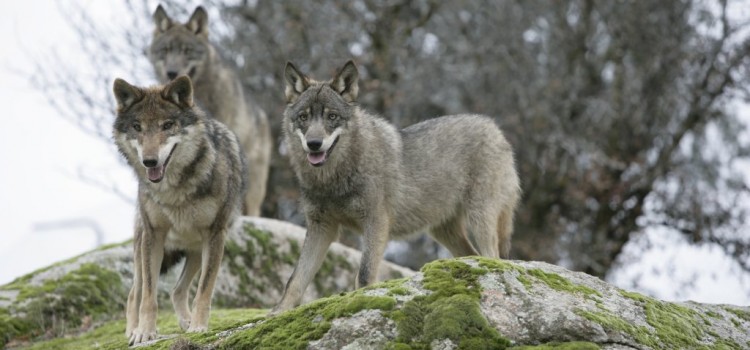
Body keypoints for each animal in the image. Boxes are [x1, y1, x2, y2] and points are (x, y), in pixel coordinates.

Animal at [113, 75, 247, 344]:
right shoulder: (154, 235)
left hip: (196, 249)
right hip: (143, 247)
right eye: (137, 127)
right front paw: (144, 332)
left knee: (177, 290)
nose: (150, 161)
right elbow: (149, 296)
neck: (174, 190)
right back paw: (132, 330)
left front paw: (198, 327)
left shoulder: (215, 235)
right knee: (135, 293)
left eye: (167, 125)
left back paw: (186, 322)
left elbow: (204, 290)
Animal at [272, 60, 524, 312]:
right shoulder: (321, 227)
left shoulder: (376, 222)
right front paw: (278, 312)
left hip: (480, 219)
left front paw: (361, 301)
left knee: (493, 257)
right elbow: (295, 280)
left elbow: (364, 275)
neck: (333, 179)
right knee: (473, 255)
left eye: (332, 116)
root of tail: (495, 128)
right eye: (303, 117)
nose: (314, 144)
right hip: (444, 231)